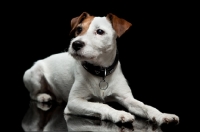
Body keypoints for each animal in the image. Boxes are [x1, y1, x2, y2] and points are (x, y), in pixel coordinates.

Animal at [23, 11, 180, 126]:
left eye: (100, 31)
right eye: (79, 29)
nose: (75, 44)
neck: (100, 72)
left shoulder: (127, 98)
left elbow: (146, 106)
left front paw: (162, 115)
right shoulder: (74, 102)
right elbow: (101, 105)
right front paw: (119, 113)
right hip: (32, 75)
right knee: (32, 94)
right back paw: (44, 96)